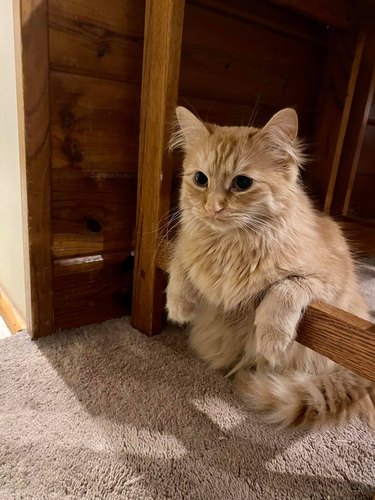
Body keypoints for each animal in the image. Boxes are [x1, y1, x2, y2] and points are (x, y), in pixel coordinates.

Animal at [167, 105, 375, 430]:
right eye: (200, 179)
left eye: (242, 183)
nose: (212, 208)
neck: (230, 246)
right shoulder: (186, 245)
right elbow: (179, 261)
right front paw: (178, 306)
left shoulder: (327, 282)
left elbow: (286, 288)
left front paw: (273, 338)